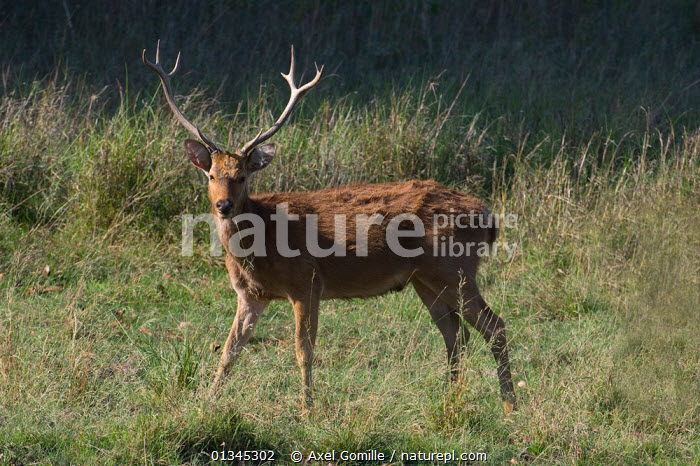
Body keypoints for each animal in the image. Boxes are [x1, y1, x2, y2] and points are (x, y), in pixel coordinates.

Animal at [144, 41, 516, 412]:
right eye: (211, 175)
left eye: (243, 177)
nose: (224, 205)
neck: (262, 245)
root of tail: (487, 215)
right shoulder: (250, 294)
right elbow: (229, 350)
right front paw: (207, 401)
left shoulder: (307, 282)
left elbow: (303, 351)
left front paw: (307, 408)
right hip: (426, 279)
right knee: (456, 334)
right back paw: (452, 398)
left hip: (455, 268)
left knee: (494, 326)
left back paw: (509, 404)